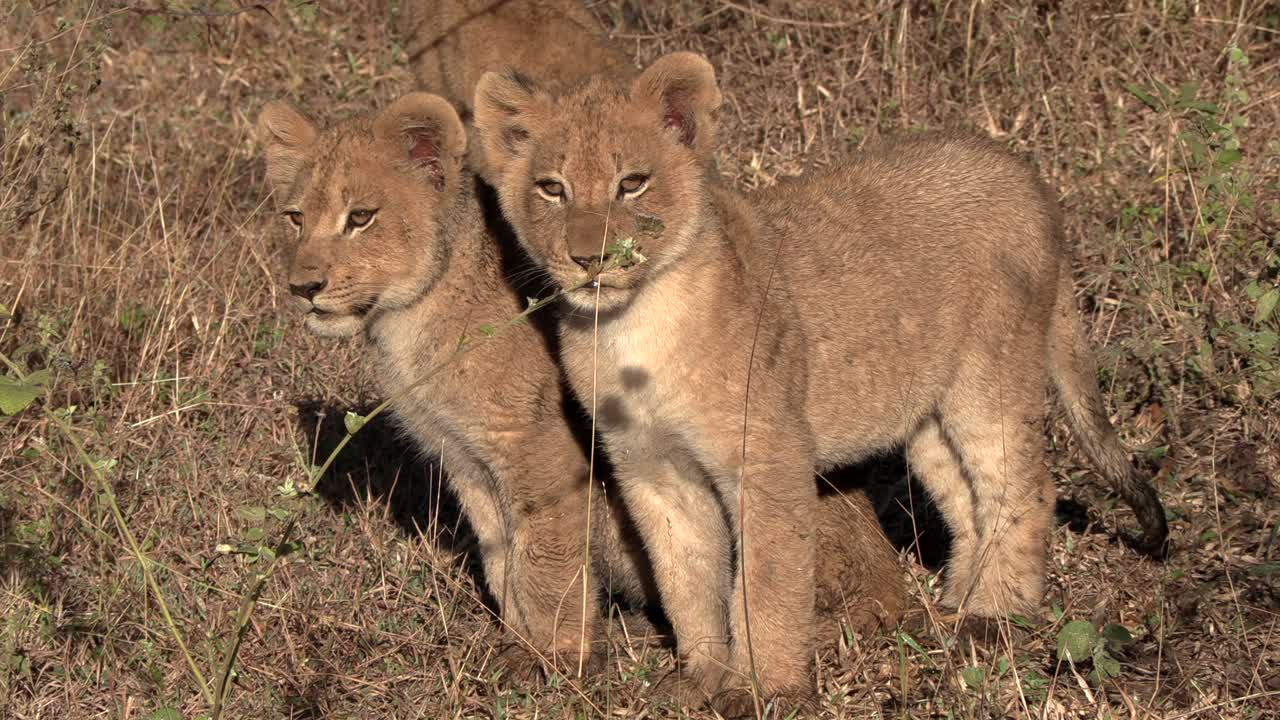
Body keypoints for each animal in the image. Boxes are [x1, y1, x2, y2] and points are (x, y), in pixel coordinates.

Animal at [256, 91, 906, 682]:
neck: (407, 322)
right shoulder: (466, 462)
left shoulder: (542, 451)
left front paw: (556, 663)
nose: (302, 287)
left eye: (360, 218)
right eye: (295, 217)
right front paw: (517, 647)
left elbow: (544, 562)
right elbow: (503, 562)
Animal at [472, 52, 1169, 714]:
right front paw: (699, 681)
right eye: (552, 189)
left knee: (1022, 487)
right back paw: (954, 605)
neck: (632, 326)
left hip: (990, 378)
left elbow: (767, 584)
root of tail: (1027, 176)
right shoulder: (653, 470)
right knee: (965, 499)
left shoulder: (770, 456)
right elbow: (686, 581)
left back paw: (995, 617)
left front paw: (765, 691)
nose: (589, 259)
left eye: (632, 184)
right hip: (925, 412)